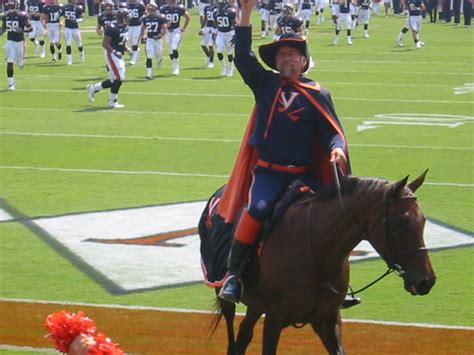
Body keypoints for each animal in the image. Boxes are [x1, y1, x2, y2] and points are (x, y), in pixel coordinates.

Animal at [197, 171, 436, 354]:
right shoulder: (274, 319)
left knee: (244, 334)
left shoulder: (328, 321)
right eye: (402, 222)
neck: (317, 251)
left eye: (423, 220)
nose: (426, 281)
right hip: (223, 292)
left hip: (256, 304)